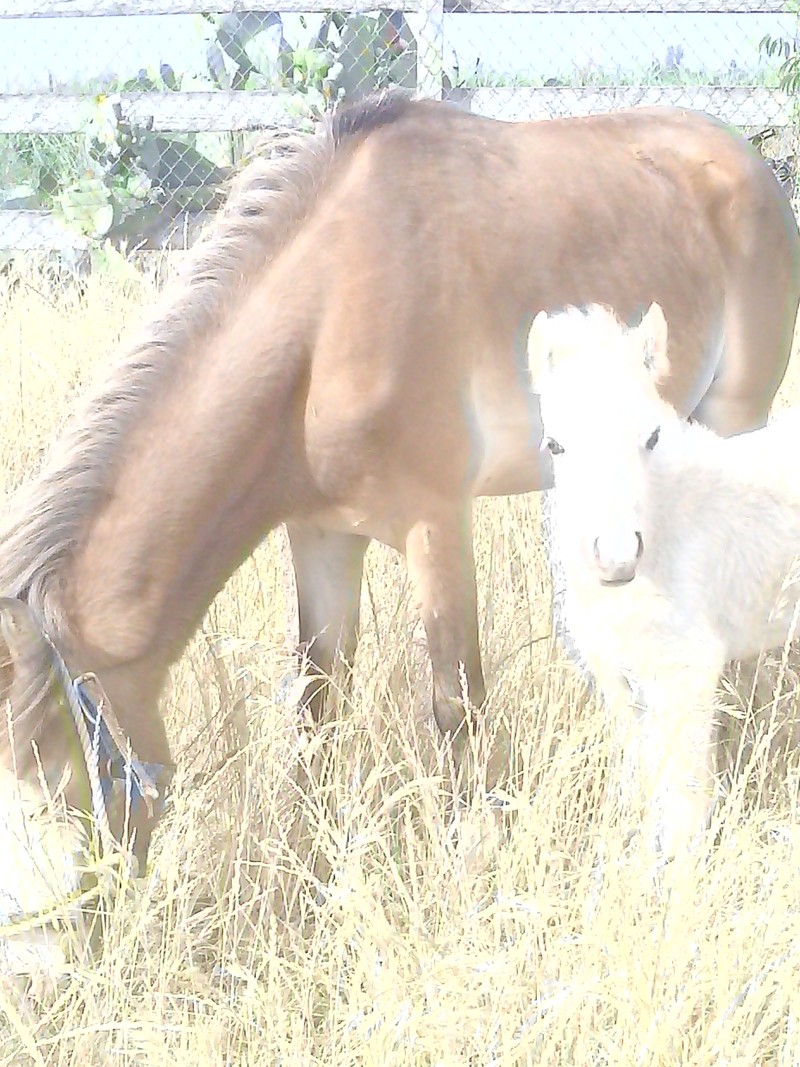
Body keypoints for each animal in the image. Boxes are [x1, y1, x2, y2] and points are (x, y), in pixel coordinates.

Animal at [529, 303, 800, 857]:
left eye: (652, 436)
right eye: (555, 445)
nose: (615, 559)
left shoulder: (686, 668)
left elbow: (684, 797)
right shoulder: (614, 674)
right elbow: (639, 776)